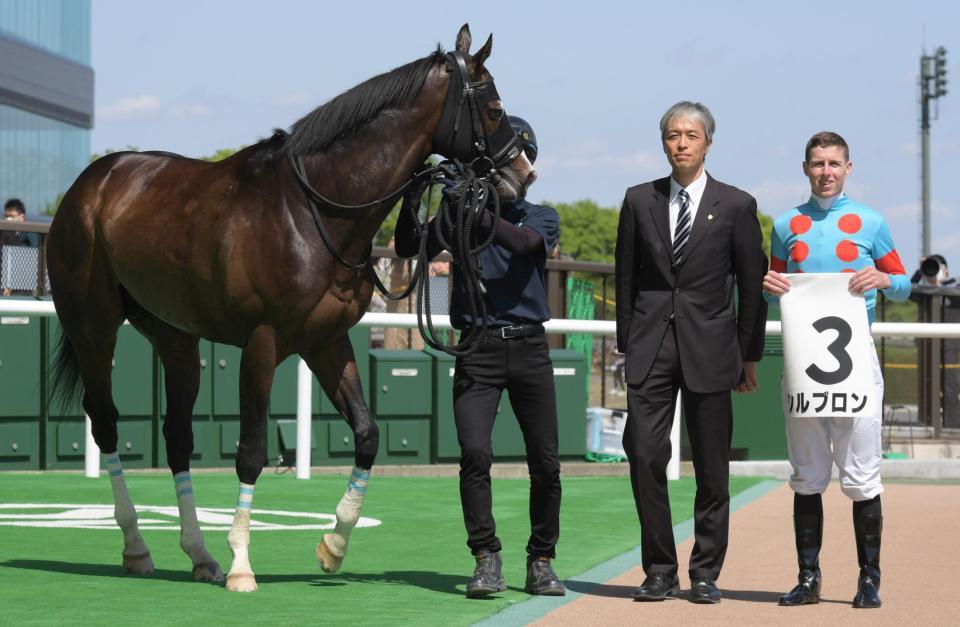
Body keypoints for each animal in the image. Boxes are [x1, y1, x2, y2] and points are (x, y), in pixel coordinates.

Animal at [48, 24, 536, 592]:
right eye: (495, 109)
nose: (524, 174)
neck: (312, 210)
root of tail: (91, 182)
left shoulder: (326, 342)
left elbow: (367, 434)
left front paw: (333, 547)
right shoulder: (262, 343)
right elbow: (252, 452)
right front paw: (242, 564)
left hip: (175, 336)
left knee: (177, 436)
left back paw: (199, 554)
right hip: (93, 327)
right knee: (105, 422)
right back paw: (137, 545)